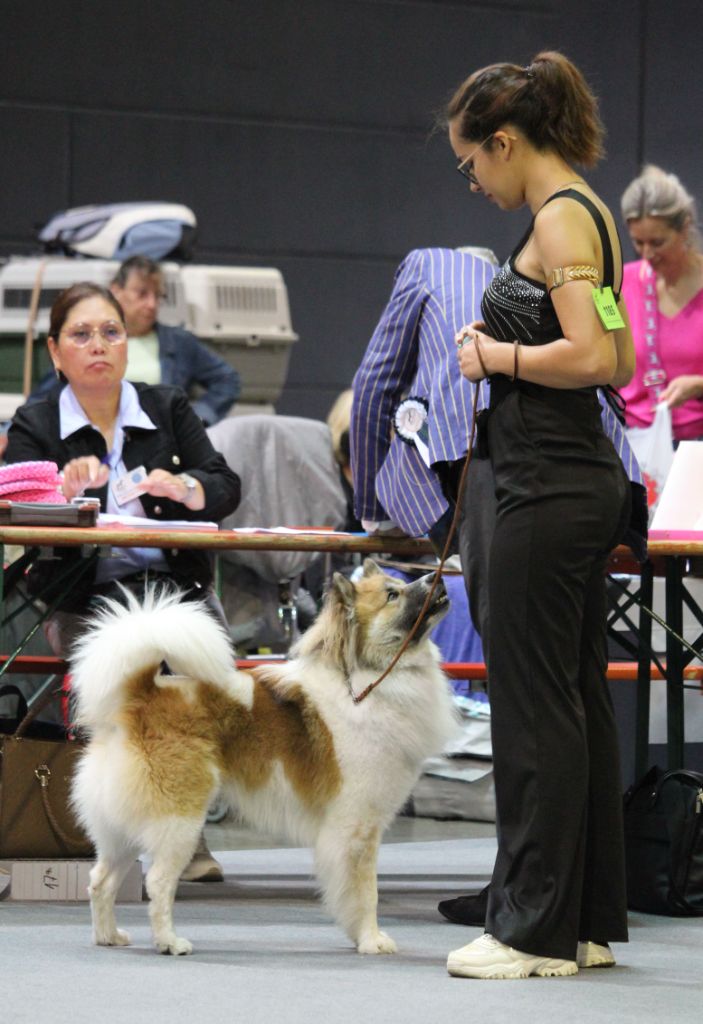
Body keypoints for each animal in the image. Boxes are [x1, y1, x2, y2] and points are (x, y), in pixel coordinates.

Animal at [69, 559, 457, 956]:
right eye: (393, 595)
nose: (437, 577)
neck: (365, 682)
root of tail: (140, 695)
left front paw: (358, 936)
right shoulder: (357, 827)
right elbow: (366, 892)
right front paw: (370, 939)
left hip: (123, 826)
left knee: (101, 879)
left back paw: (108, 936)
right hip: (179, 821)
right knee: (160, 881)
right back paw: (170, 942)